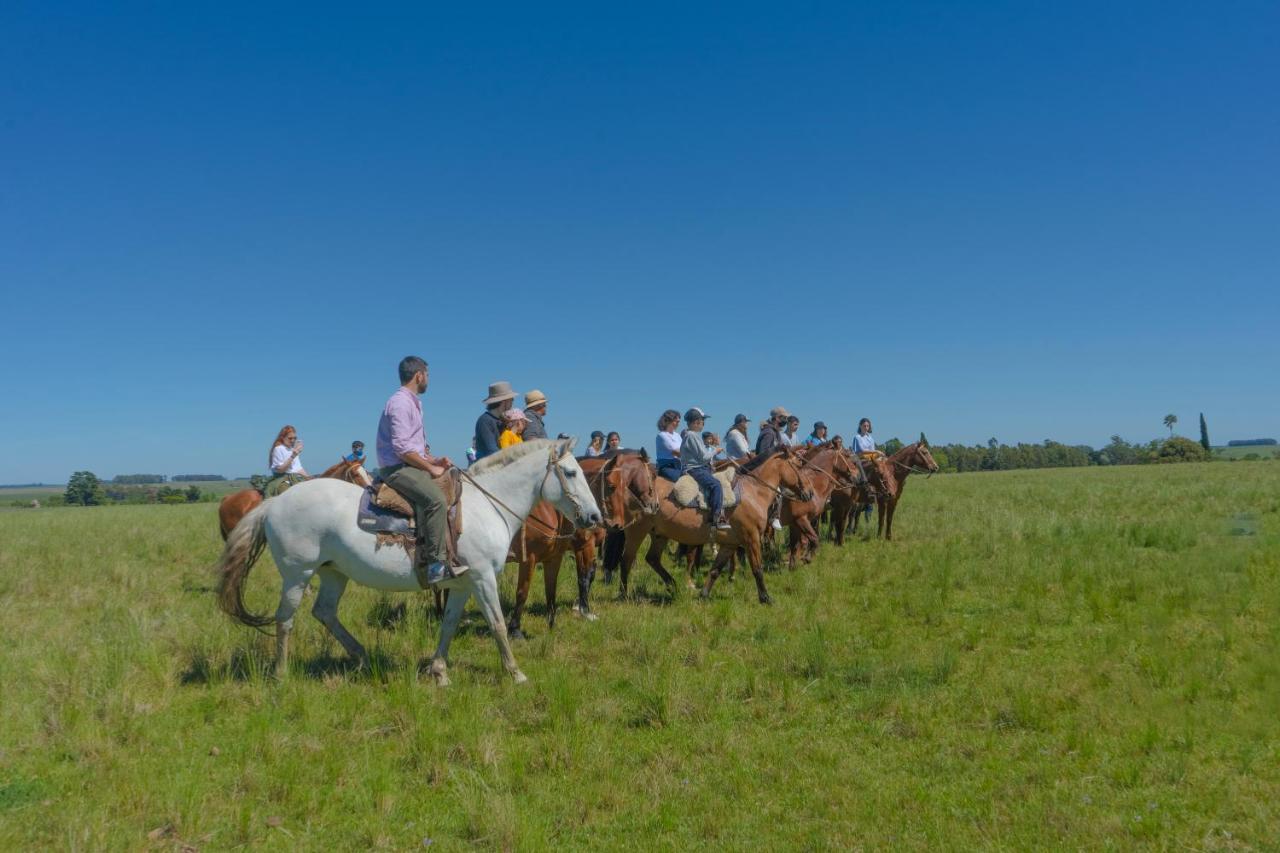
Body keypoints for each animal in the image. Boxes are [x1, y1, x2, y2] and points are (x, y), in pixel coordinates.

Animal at [645, 448, 814, 601]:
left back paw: (672, 585)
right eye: (798, 465)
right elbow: (757, 569)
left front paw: (704, 595)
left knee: (652, 559)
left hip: (659, 535)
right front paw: (765, 598)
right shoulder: (751, 539)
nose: (810, 493)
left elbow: (715, 570)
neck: (753, 491)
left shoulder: (729, 544)